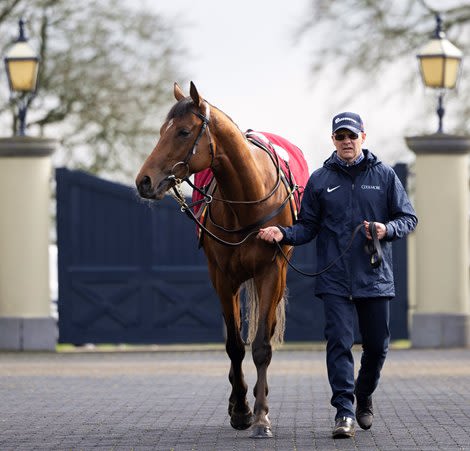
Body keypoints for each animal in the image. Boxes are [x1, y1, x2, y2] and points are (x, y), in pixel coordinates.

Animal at [135, 83, 308, 440]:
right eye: (161, 131)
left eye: (184, 131)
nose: (144, 180)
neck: (248, 201)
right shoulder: (222, 277)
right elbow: (234, 346)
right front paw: (241, 410)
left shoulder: (271, 272)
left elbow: (261, 345)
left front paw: (261, 417)